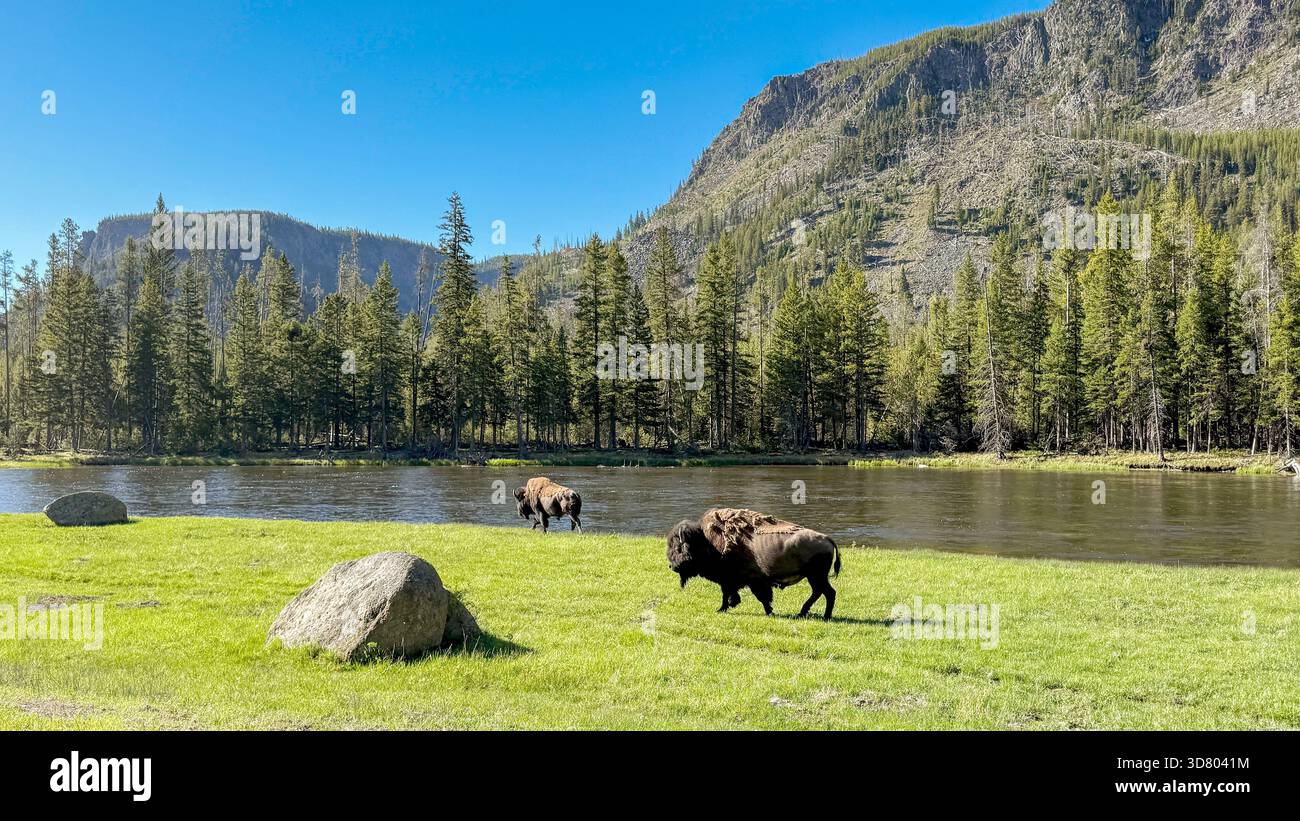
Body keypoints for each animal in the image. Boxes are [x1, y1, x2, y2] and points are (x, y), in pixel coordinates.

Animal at [667, 507, 840, 620]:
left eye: (677, 547)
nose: (671, 566)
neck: (706, 540)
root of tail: (827, 539)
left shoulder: (743, 580)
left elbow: (758, 596)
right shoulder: (731, 581)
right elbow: (731, 594)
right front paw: (725, 608)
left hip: (816, 576)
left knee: (828, 592)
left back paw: (824, 616)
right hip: (815, 577)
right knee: (820, 592)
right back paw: (804, 613)